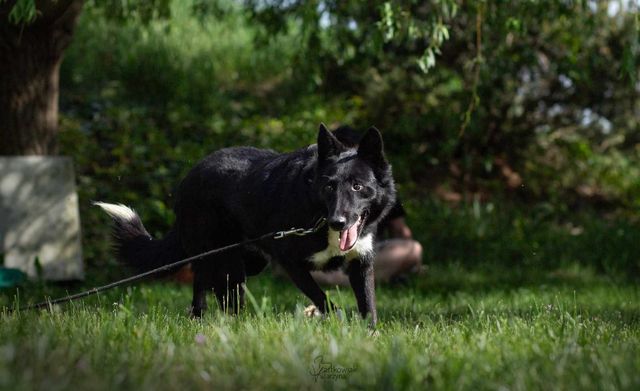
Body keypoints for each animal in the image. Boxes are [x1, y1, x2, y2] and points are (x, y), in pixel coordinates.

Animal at [96, 125, 396, 328]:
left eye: (357, 186)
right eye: (329, 187)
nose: (338, 221)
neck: (318, 216)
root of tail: (188, 179)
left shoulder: (361, 262)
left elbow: (368, 304)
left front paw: (369, 335)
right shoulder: (291, 262)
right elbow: (324, 299)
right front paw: (340, 322)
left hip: (248, 260)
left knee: (206, 280)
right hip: (223, 257)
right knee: (214, 285)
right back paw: (216, 321)